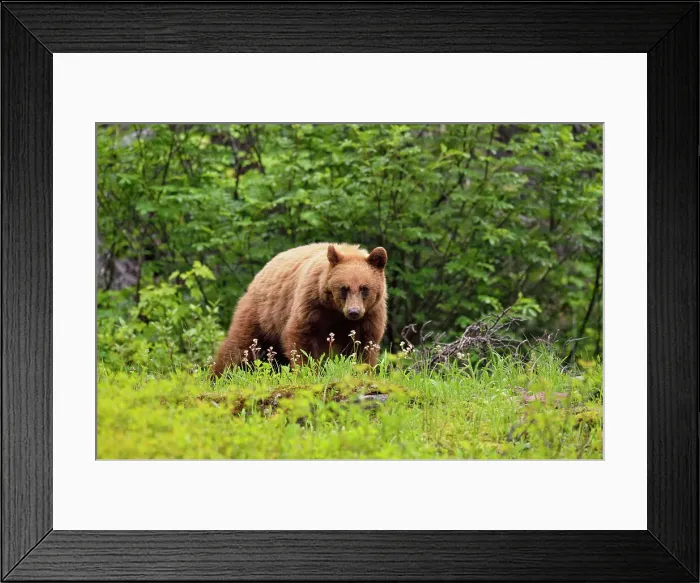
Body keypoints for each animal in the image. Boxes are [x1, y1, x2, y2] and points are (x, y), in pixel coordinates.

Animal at [212, 242, 388, 376]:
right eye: (344, 288)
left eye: (364, 288)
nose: (353, 311)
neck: (336, 312)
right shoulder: (312, 303)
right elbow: (301, 336)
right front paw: (308, 371)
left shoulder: (370, 314)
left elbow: (365, 345)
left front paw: (363, 371)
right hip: (262, 313)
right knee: (240, 345)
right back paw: (218, 375)